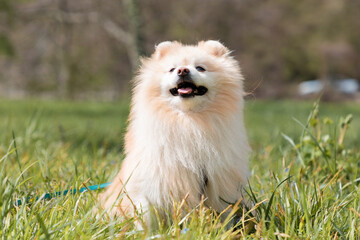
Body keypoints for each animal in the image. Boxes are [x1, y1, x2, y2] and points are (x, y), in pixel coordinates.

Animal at [98, 40, 250, 228]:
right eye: (172, 69)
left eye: (200, 68)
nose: (183, 70)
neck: (189, 122)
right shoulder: (148, 184)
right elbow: (146, 216)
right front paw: (149, 232)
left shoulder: (219, 185)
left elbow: (224, 216)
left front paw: (223, 231)